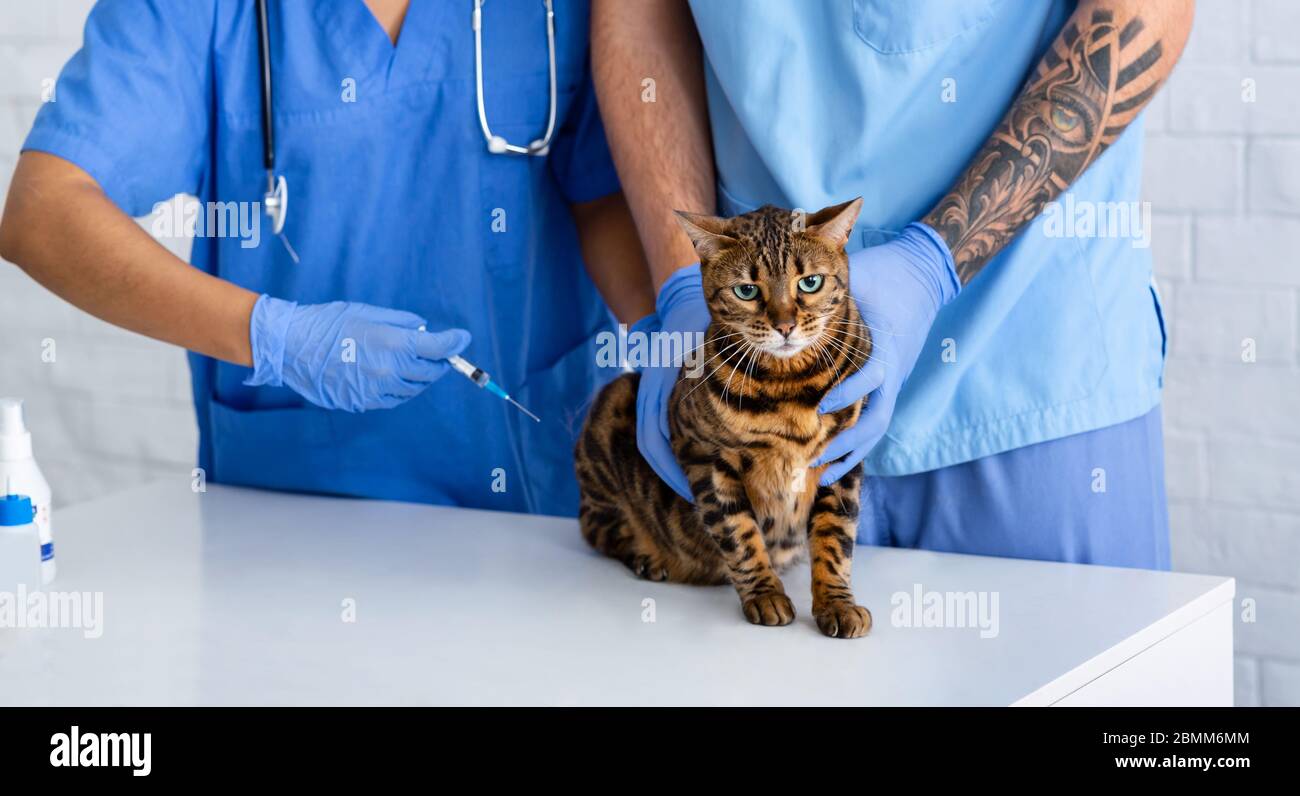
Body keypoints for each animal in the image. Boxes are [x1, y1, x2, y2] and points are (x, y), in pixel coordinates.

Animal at [577, 199, 873, 639]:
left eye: (810, 283)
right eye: (746, 290)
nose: (785, 325)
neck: (790, 387)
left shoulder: (843, 459)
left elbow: (835, 537)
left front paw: (837, 602)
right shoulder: (706, 457)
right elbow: (740, 534)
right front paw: (765, 594)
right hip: (610, 417)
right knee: (598, 527)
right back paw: (648, 558)